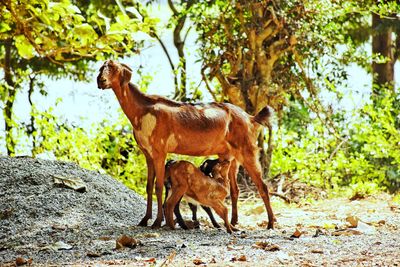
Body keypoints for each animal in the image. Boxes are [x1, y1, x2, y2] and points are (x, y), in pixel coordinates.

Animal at [97, 59, 276, 229]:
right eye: (101, 68)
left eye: (114, 68)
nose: (101, 81)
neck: (143, 111)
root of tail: (250, 118)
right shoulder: (148, 154)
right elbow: (148, 186)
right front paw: (145, 220)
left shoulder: (160, 152)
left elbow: (158, 186)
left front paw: (157, 222)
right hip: (229, 156)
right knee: (235, 189)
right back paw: (233, 222)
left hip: (248, 151)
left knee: (263, 186)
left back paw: (270, 223)